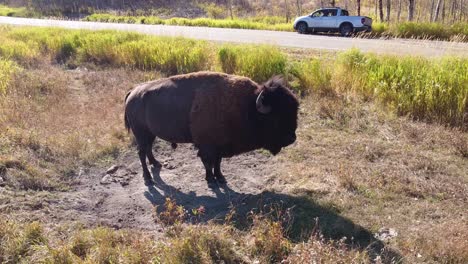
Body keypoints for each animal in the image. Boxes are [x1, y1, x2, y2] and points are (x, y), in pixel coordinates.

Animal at [124, 70, 298, 186]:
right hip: (141, 133)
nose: (292, 138)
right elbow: (208, 162)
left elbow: (218, 162)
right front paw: (210, 179)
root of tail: (133, 92)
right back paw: (148, 179)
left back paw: (156, 163)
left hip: (150, 134)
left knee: (148, 149)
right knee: (141, 153)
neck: (247, 107)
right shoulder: (207, 146)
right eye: (276, 117)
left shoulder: (220, 146)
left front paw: (220, 177)